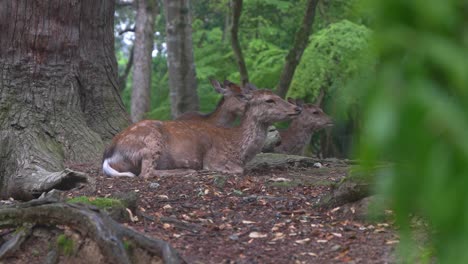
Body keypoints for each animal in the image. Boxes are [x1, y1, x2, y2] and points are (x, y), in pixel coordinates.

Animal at [100, 84, 302, 177]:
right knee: (146, 173)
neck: (238, 147)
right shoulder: (214, 159)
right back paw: (186, 171)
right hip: (151, 140)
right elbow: (238, 170)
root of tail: (109, 154)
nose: (297, 108)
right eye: (269, 100)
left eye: (278, 95)